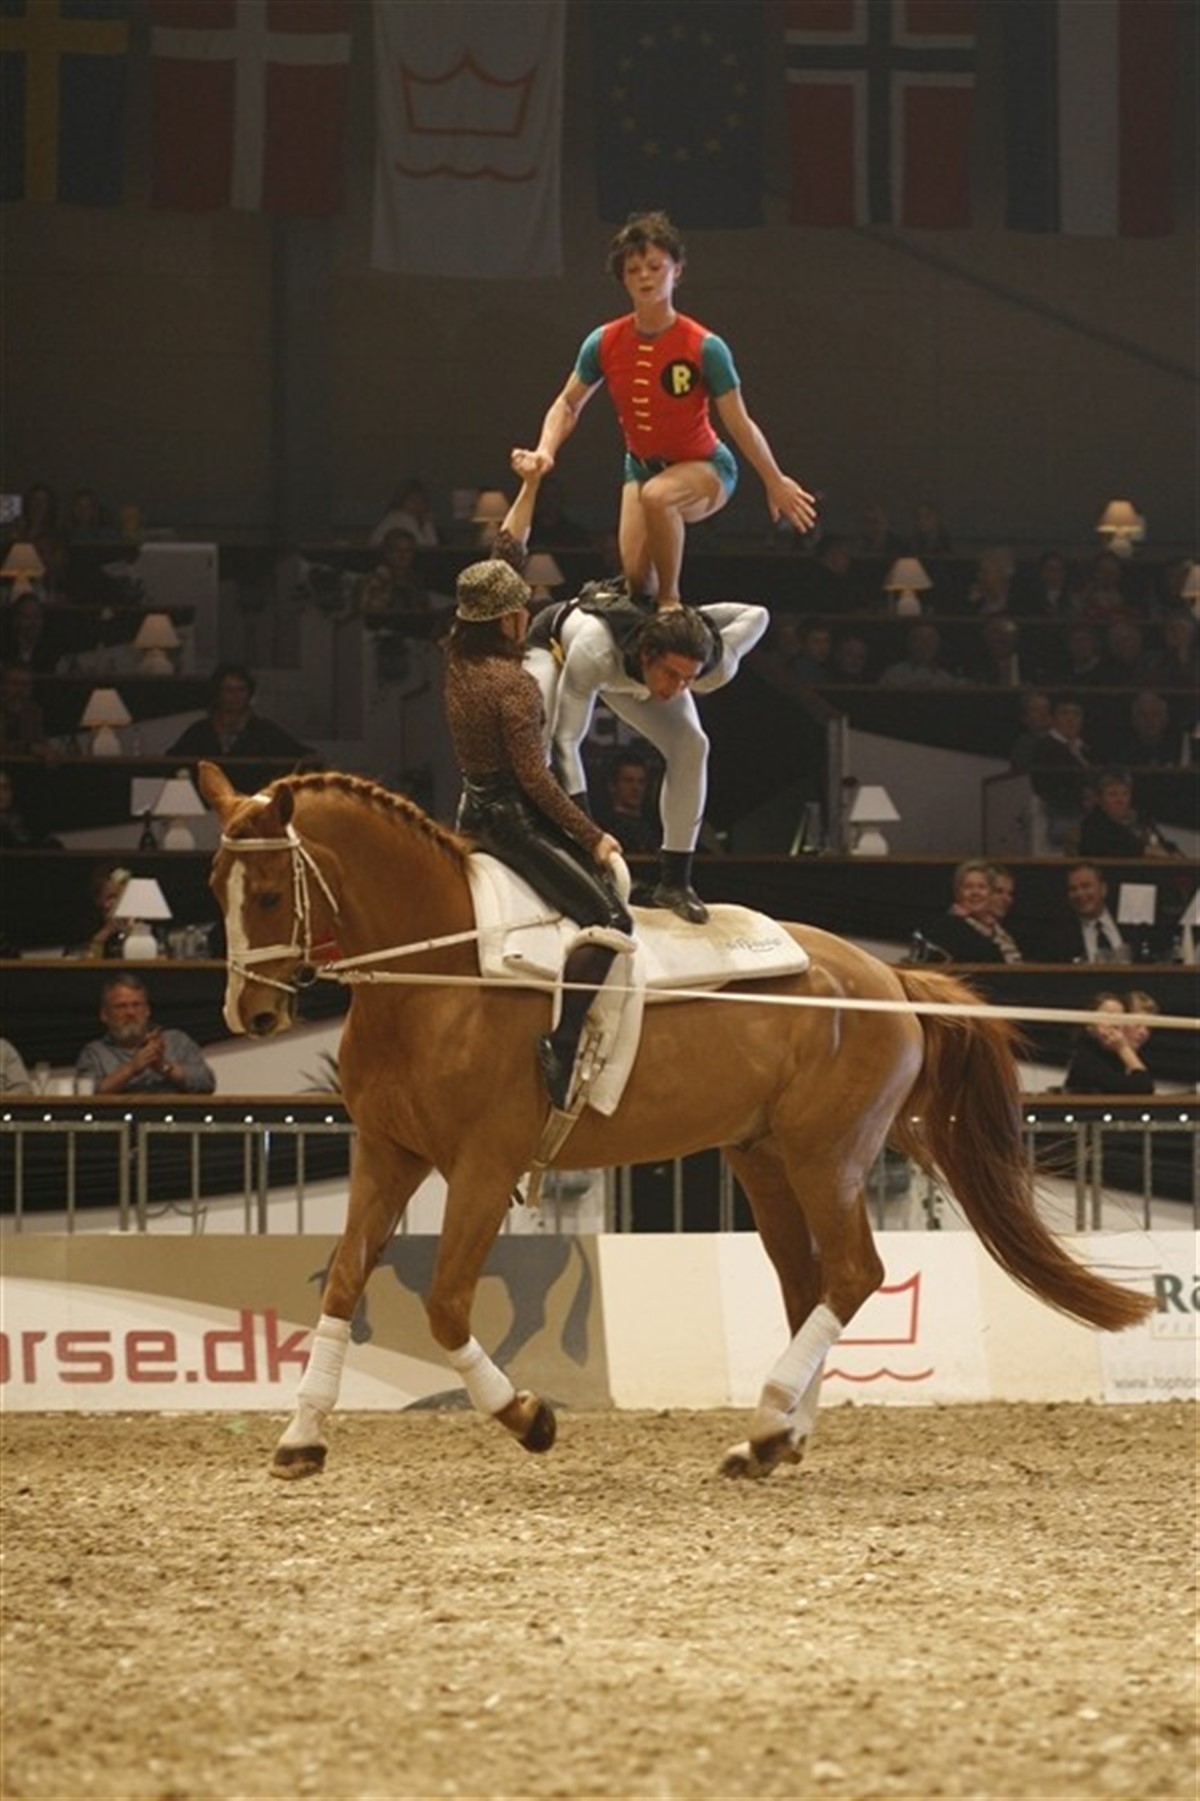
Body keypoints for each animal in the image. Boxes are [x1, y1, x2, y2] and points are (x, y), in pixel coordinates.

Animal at [199, 764, 1154, 1481]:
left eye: (273, 892)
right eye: (214, 886)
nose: (250, 1013)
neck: (439, 973)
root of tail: (889, 978)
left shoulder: (481, 1164)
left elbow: (444, 1305)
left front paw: (529, 1415)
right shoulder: (389, 1152)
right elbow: (345, 1279)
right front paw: (301, 1437)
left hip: (829, 1154)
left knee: (854, 1273)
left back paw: (767, 1424)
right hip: (765, 1159)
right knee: (809, 1283)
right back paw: (776, 1437)